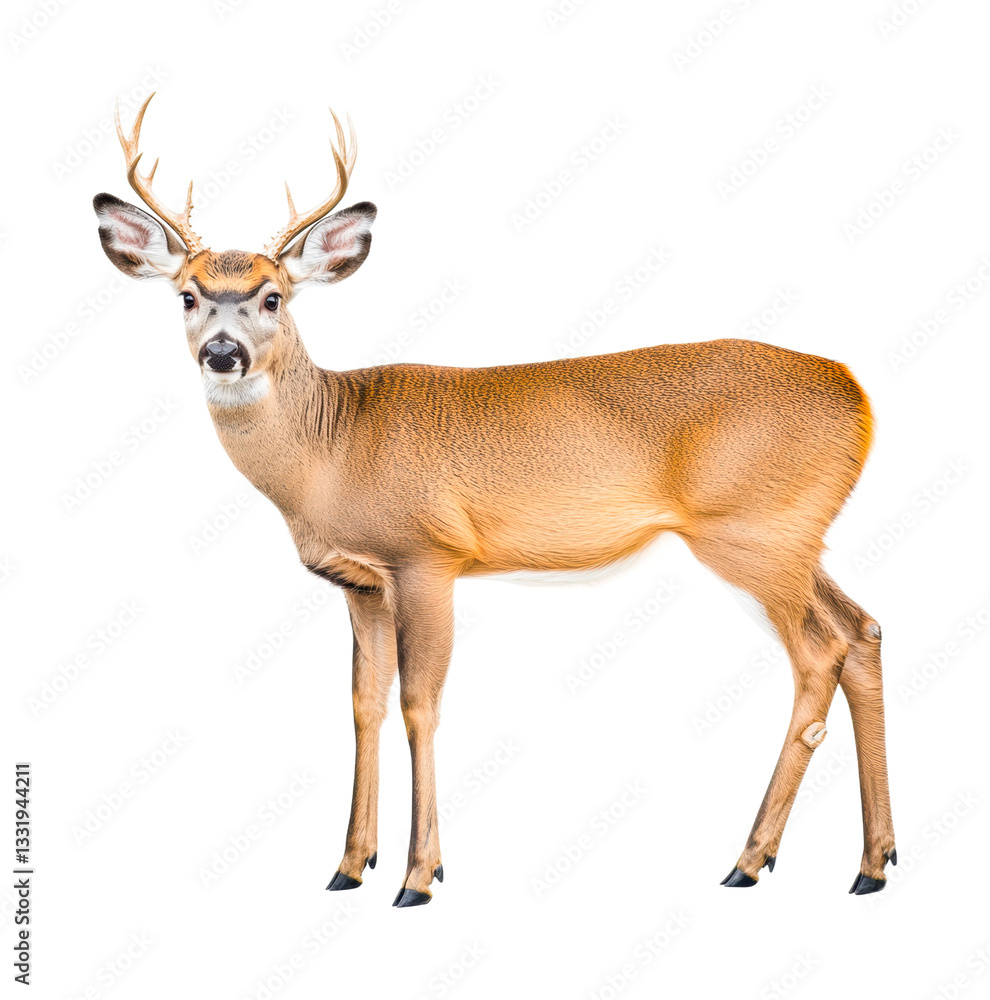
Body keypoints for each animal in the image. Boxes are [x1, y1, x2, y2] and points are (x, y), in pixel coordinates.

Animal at [93, 94, 895, 906]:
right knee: (862, 631)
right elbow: (362, 705)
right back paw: (868, 863)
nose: (223, 353)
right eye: (188, 296)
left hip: (752, 532)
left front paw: (419, 875)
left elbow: (420, 705)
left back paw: (752, 859)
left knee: (819, 652)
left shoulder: (427, 557)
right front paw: (349, 865)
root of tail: (857, 393)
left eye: (272, 297)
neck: (332, 448)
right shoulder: (360, 582)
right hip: (796, 537)